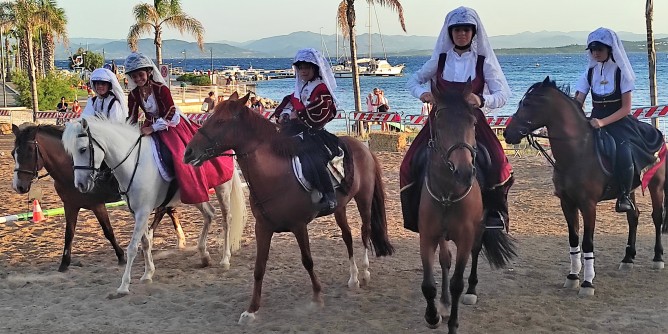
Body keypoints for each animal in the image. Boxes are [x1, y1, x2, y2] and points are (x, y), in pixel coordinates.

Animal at [12, 122, 188, 272]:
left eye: (29, 152)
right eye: (13, 153)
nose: (18, 186)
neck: (72, 169)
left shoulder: (97, 205)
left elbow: (108, 231)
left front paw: (121, 256)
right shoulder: (70, 205)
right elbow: (69, 233)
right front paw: (64, 263)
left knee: (162, 211)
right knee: (168, 210)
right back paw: (179, 240)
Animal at [60, 118, 245, 296]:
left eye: (83, 149)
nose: (80, 185)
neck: (134, 162)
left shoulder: (143, 211)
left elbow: (133, 247)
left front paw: (124, 286)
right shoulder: (136, 212)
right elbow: (145, 241)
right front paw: (148, 273)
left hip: (222, 189)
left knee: (226, 220)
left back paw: (225, 259)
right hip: (196, 194)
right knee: (209, 214)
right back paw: (204, 254)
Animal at [180, 92, 394, 324]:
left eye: (220, 121)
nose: (188, 152)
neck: (274, 176)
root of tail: (362, 146)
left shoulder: (299, 226)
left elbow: (307, 260)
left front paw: (317, 297)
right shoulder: (262, 228)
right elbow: (259, 268)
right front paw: (252, 310)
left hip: (364, 198)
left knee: (365, 231)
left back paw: (364, 273)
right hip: (340, 207)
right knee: (347, 236)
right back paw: (353, 278)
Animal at [418, 82, 516, 332]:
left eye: (472, 122)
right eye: (439, 122)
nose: (463, 171)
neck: (447, 193)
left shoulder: (465, 237)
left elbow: (457, 283)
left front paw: (453, 324)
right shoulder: (428, 236)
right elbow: (429, 283)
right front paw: (433, 315)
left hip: (479, 228)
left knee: (476, 251)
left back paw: (471, 291)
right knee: (445, 260)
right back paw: (443, 303)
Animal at [504, 77, 664, 296]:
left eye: (527, 104)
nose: (507, 133)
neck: (577, 153)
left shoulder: (588, 205)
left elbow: (588, 242)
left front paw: (587, 283)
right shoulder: (567, 203)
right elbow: (573, 239)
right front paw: (572, 277)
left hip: (656, 186)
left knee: (657, 217)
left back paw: (658, 258)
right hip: (630, 190)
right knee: (633, 216)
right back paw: (627, 258)